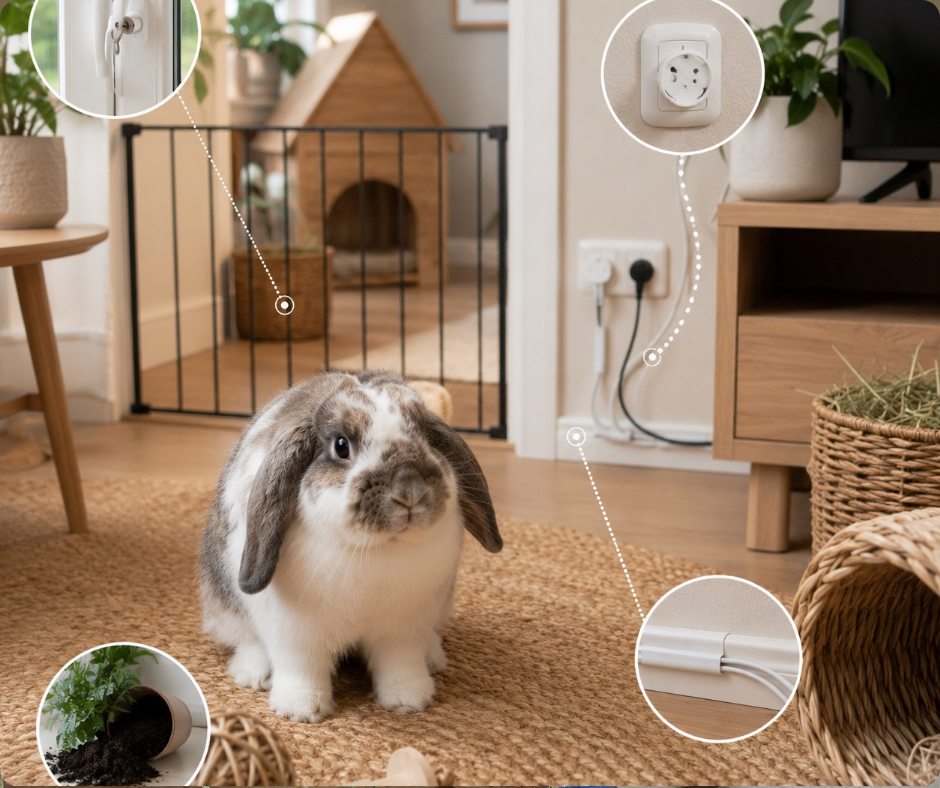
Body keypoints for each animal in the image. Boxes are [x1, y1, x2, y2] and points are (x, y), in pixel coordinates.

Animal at [199, 370, 502, 722]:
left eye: (426, 437)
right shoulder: (296, 635)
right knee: (245, 639)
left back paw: (434, 658)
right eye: (341, 446)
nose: (409, 491)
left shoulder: (403, 632)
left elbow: (401, 665)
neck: (379, 549)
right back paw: (252, 675)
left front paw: (409, 701)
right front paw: (302, 711)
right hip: (225, 606)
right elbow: (301, 668)